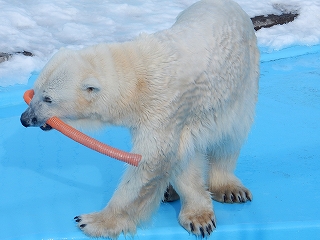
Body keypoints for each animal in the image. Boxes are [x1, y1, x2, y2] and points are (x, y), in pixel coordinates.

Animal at [20, 0, 260, 237]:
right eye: (35, 91)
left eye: (48, 99)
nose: (25, 118)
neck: (138, 81)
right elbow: (180, 159)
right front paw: (197, 214)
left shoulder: (165, 110)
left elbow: (152, 162)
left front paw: (92, 221)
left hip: (243, 85)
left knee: (230, 139)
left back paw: (229, 189)